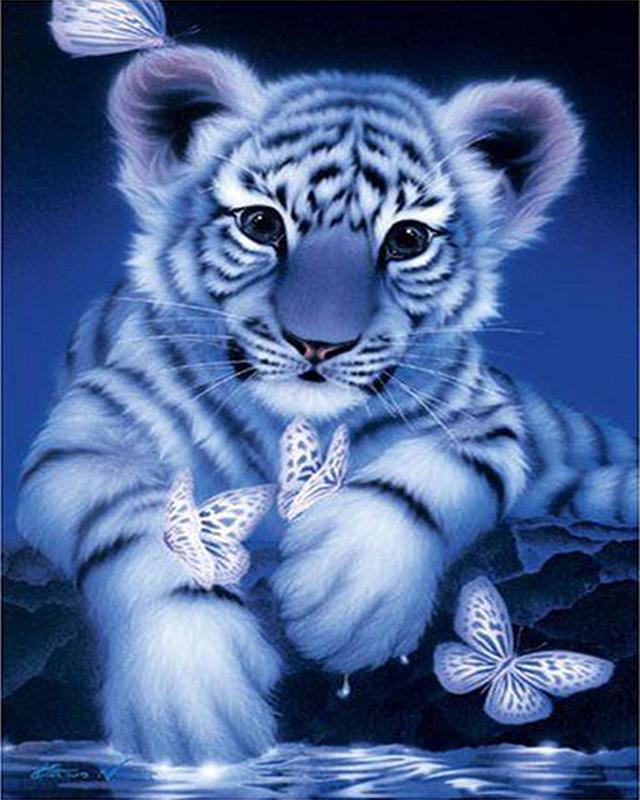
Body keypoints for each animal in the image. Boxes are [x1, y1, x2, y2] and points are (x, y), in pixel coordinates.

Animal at [17, 45, 637, 765]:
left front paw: (349, 592)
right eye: (261, 224)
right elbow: (149, 528)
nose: (319, 342)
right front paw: (188, 688)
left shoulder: (484, 417)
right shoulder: (89, 433)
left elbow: (425, 479)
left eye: (407, 239)